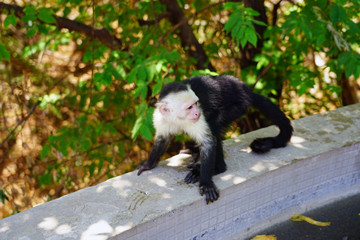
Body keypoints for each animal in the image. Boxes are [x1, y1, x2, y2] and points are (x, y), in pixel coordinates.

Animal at [137, 74, 292, 202]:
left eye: (196, 104)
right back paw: (195, 152)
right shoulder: (161, 118)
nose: (197, 112)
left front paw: (206, 183)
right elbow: (162, 139)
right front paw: (148, 164)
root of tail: (243, 88)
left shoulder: (199, 119)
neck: (177, 119)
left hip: (240, 105)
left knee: (214, 125)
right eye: (189, 107)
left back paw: (216, 169)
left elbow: (208, 142)